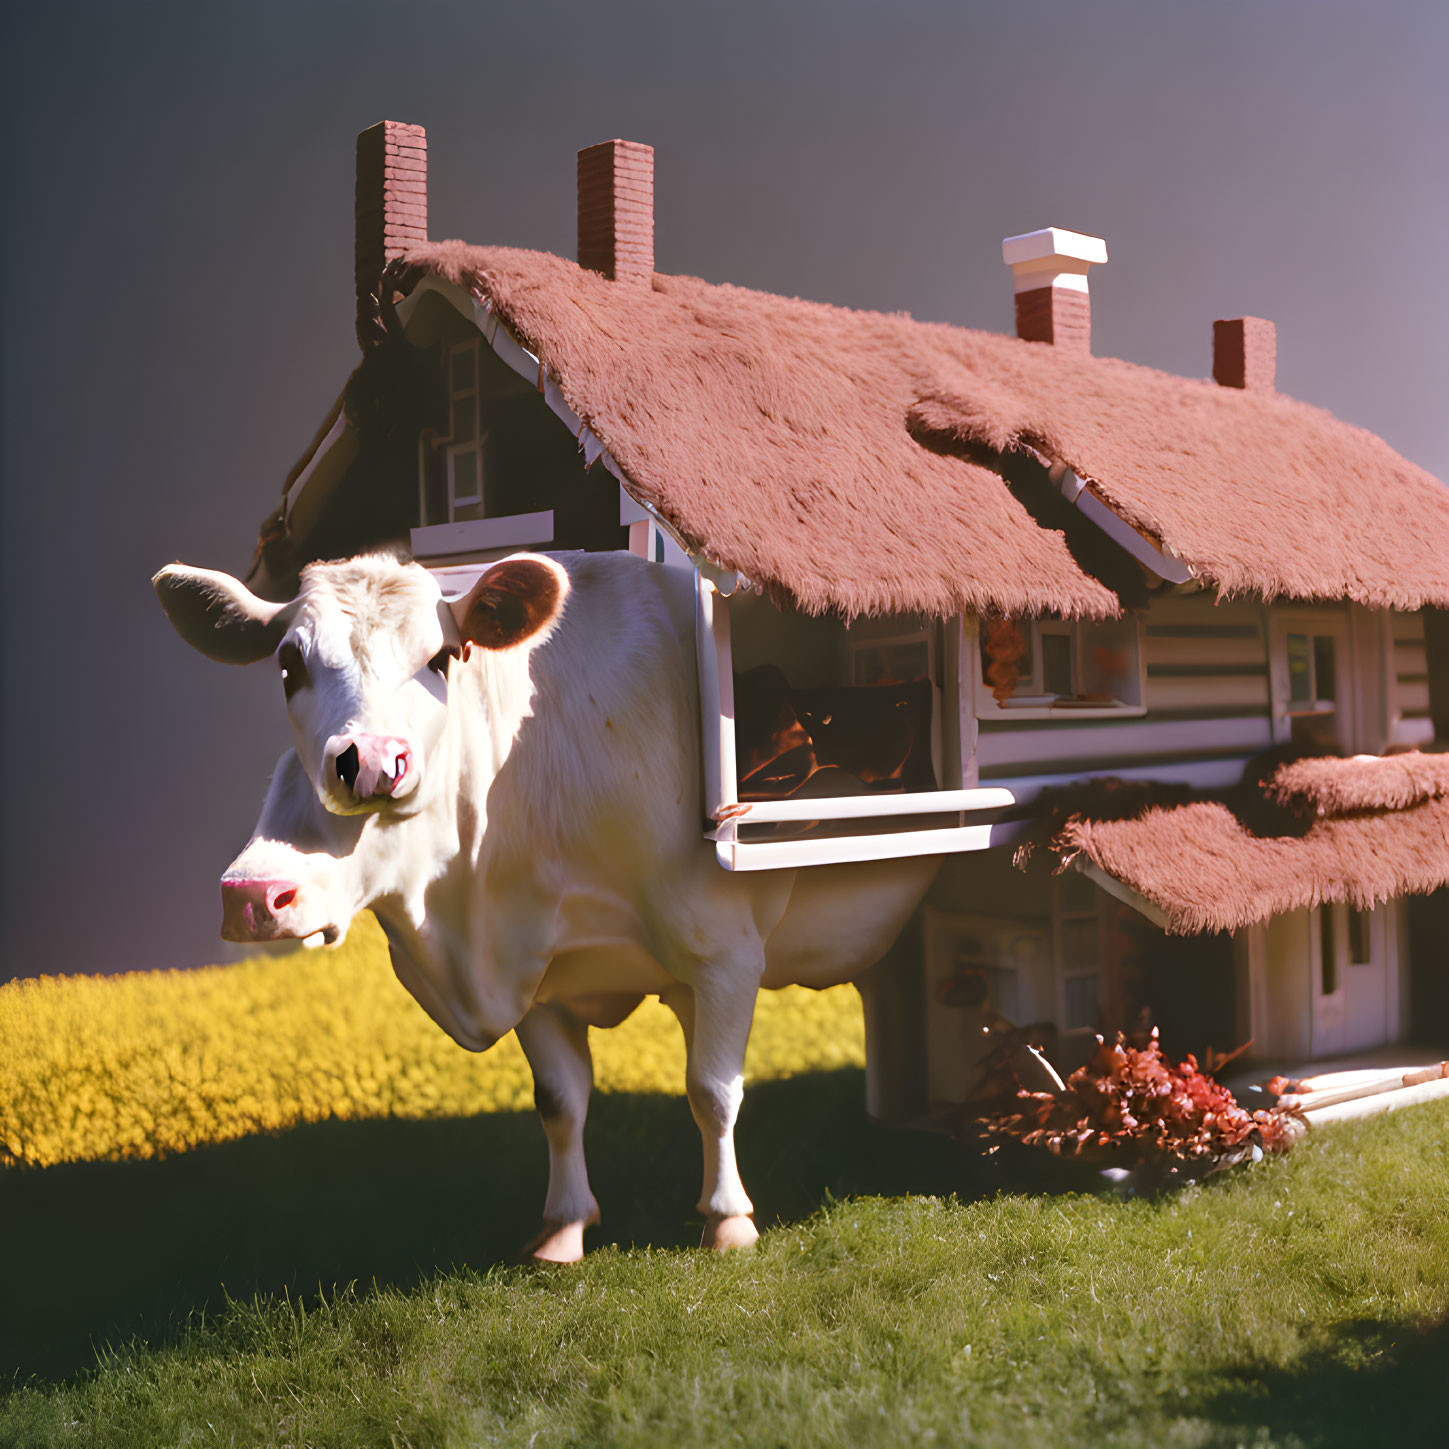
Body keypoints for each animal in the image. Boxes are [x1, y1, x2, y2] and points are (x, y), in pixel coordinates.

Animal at [152, 547, 933, 1263]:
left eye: (441, 657)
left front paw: (728, 1218)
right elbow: (559, 1103)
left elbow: (712, 1090)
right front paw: (562, 1226)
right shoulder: (537, 968)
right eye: (289, 664)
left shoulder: (723, 953)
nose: (366, 760)